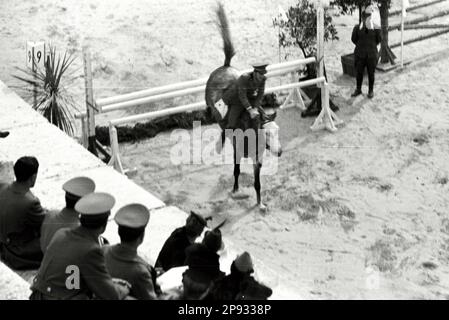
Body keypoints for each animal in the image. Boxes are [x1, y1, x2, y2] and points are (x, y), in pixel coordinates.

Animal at [205, 3, 282, 212]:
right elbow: (237, 170)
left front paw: (260, 204)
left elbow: (257, 183)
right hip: (216, 99)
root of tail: (226, 66)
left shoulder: (257, 160)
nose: (280, 152)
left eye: (278, 131)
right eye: (267, 133)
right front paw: (235, 191)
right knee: (216, 115)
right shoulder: (238, 152)